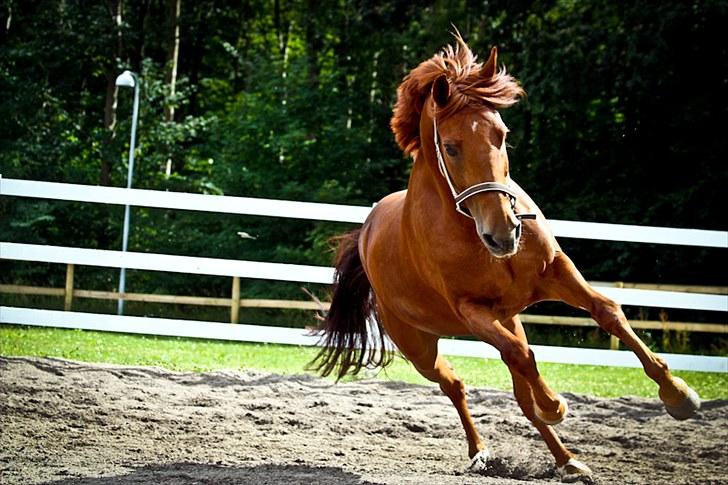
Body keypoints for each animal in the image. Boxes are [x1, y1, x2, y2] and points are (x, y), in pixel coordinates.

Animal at [311, 34, 701, 481]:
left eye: (501, 133)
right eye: (451, 147)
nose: (504, 233)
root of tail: (367, 230)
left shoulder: (557, 272)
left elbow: (608, 312)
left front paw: (679, 395)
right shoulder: (473, 311)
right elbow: (522, 358)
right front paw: (555, 404)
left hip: (509, 318)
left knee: (518, 393)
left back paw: (568, 461)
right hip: (420, 346)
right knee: (457, 385)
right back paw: (481, 451)